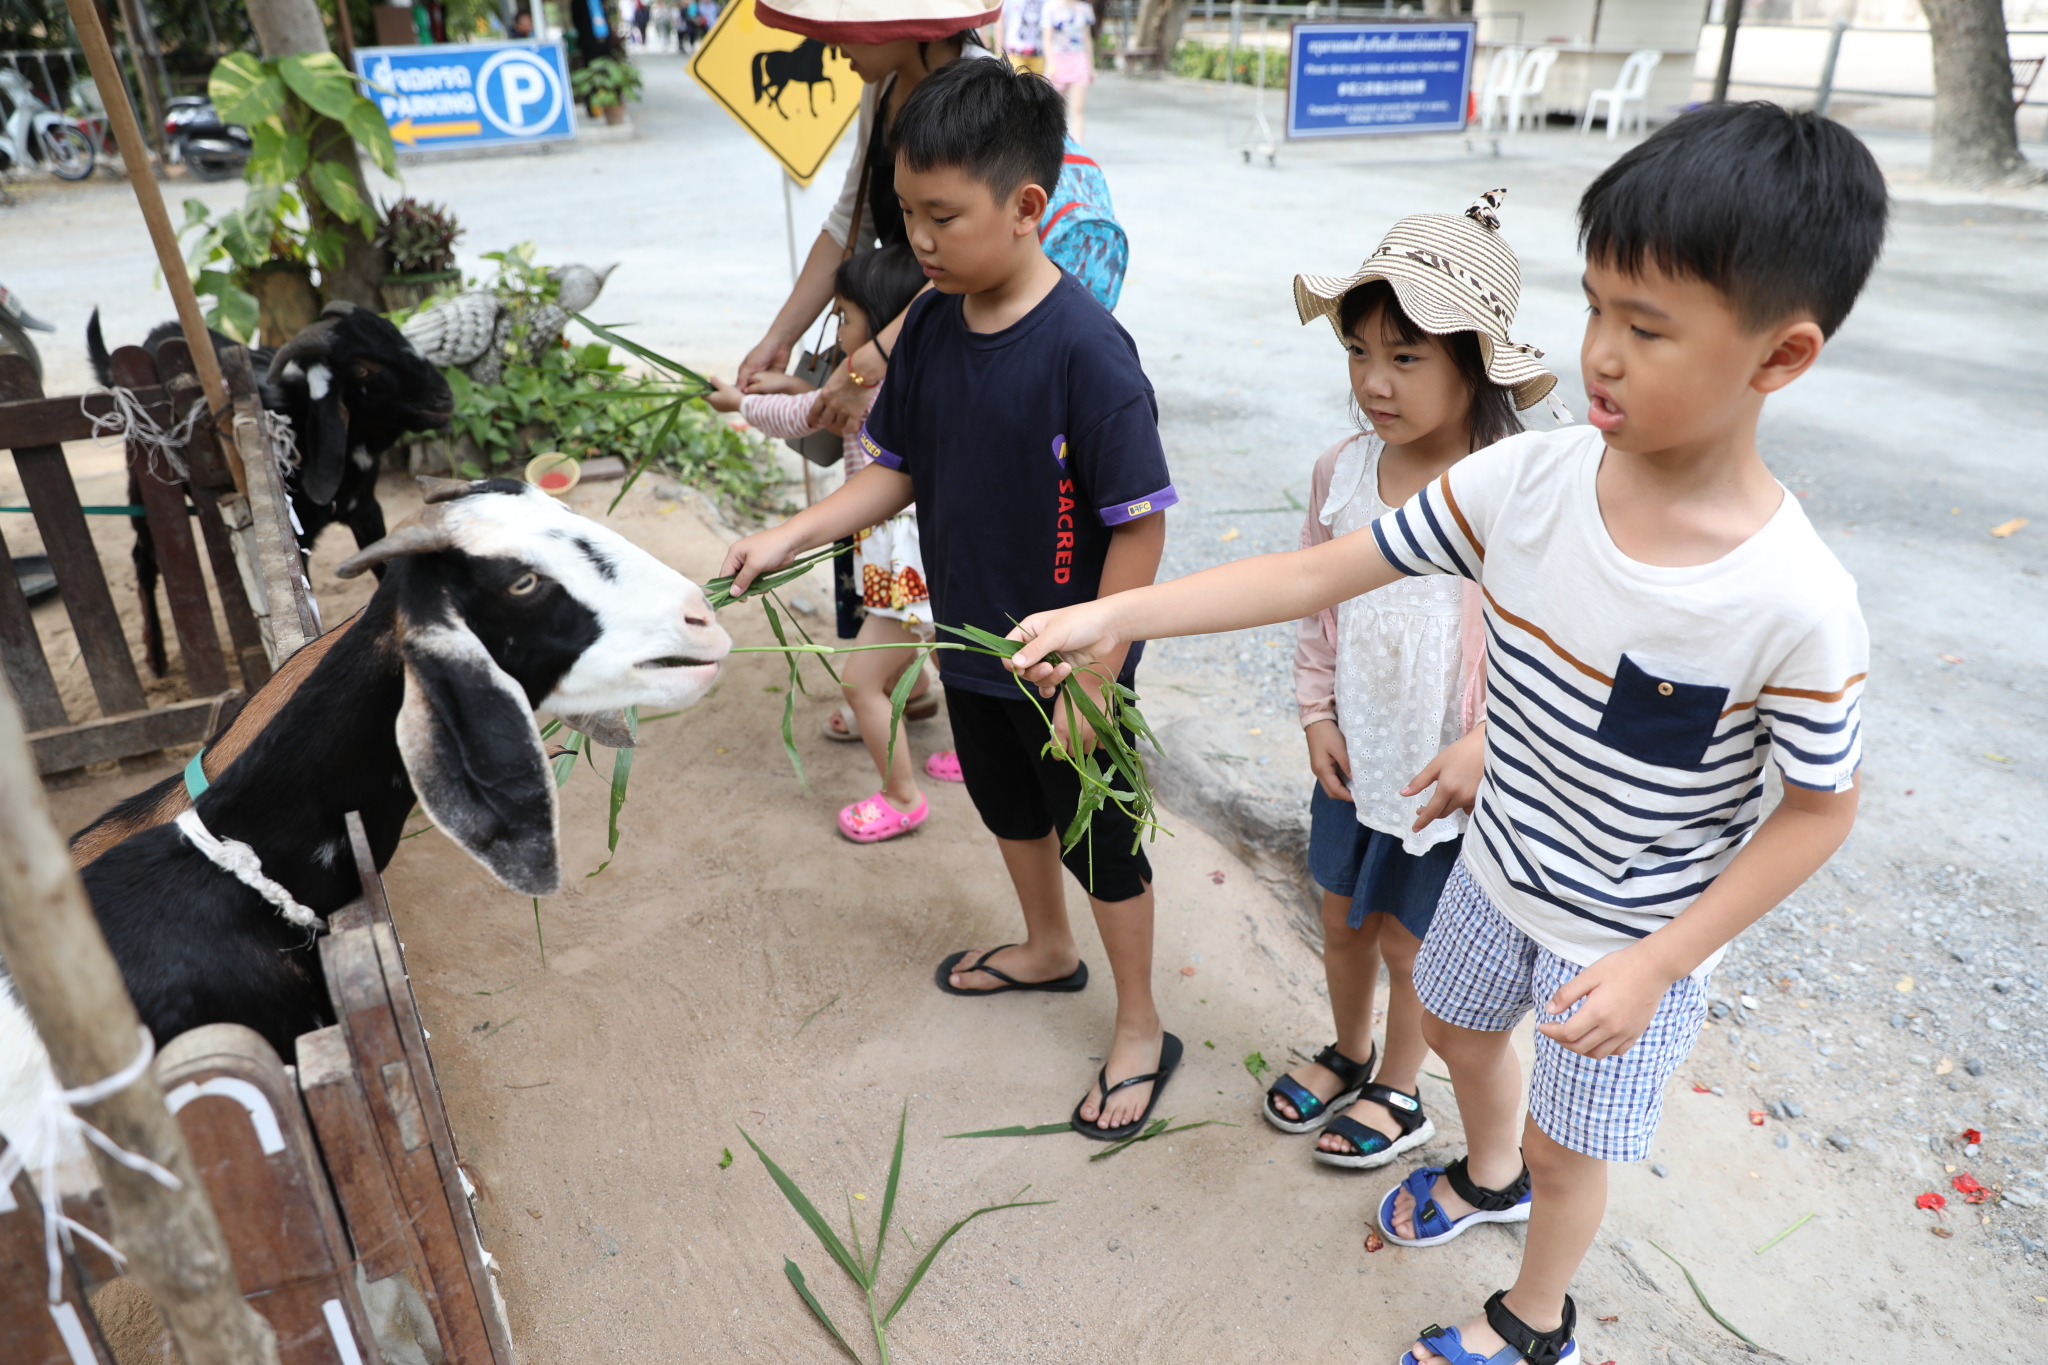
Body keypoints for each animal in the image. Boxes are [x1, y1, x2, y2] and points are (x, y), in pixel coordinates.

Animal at [87, 304, 452, 679]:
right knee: (144, 557)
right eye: (362, 368)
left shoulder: (365, 507)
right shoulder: (294, 535)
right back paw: (155, 657)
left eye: (399, 336)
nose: (444, 398)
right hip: (142, 478)